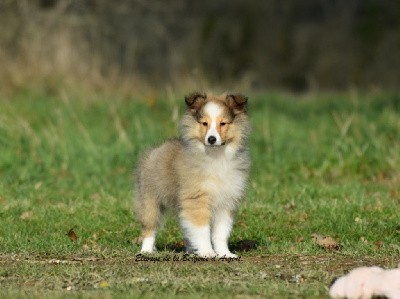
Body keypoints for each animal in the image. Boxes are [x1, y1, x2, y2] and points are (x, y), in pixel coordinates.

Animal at [136, 92, 252, 258]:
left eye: (223, 123)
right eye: (204, 123)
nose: (211, 139)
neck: (216, 158)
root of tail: (154, 150)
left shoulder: (226, 203)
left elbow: (221, 233)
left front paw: (225, 254)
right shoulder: (197, 200)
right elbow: (202, 230)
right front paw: (207, 252)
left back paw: (191, 250)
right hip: (150, 200)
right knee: (150, 227)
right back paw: (146, 251)